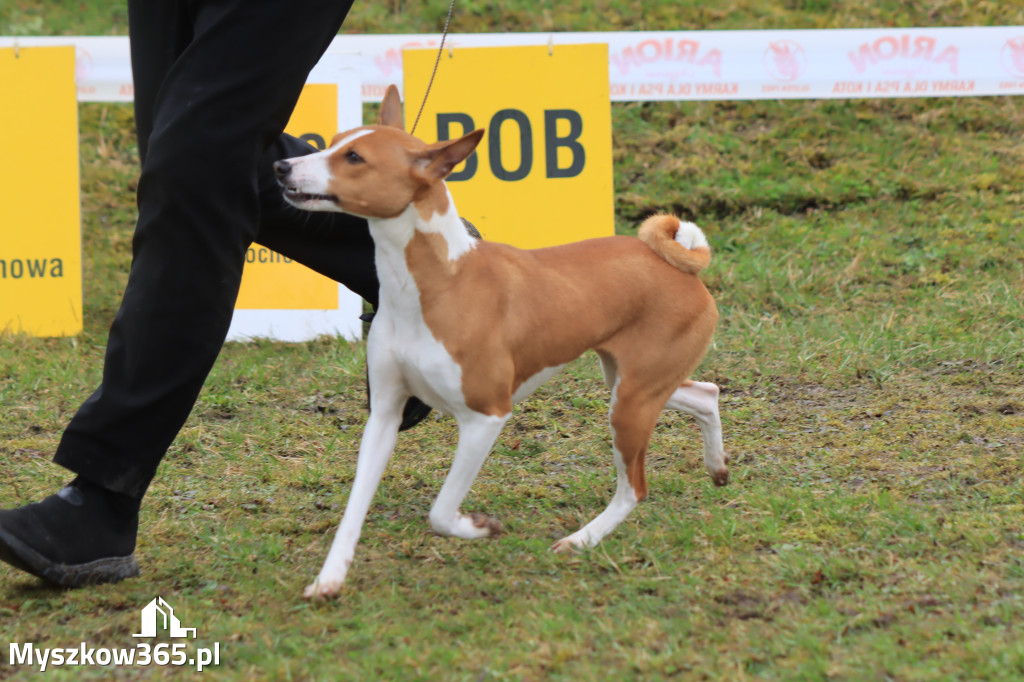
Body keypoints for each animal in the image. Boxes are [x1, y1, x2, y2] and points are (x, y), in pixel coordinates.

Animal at [272, 83, 729, 593]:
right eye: (334, 142)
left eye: (354, 157)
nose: (280, 165)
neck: (434, 283)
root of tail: (680, 266)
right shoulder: (385, 414)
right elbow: (354, 508)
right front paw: (330, 579)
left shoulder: (486, 417)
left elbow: (440, 512)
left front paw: (477, 528)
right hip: (630, 385)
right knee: (706, 394)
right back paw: (717, 466)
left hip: (630, 403)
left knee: (635, 488)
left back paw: (582, 540)